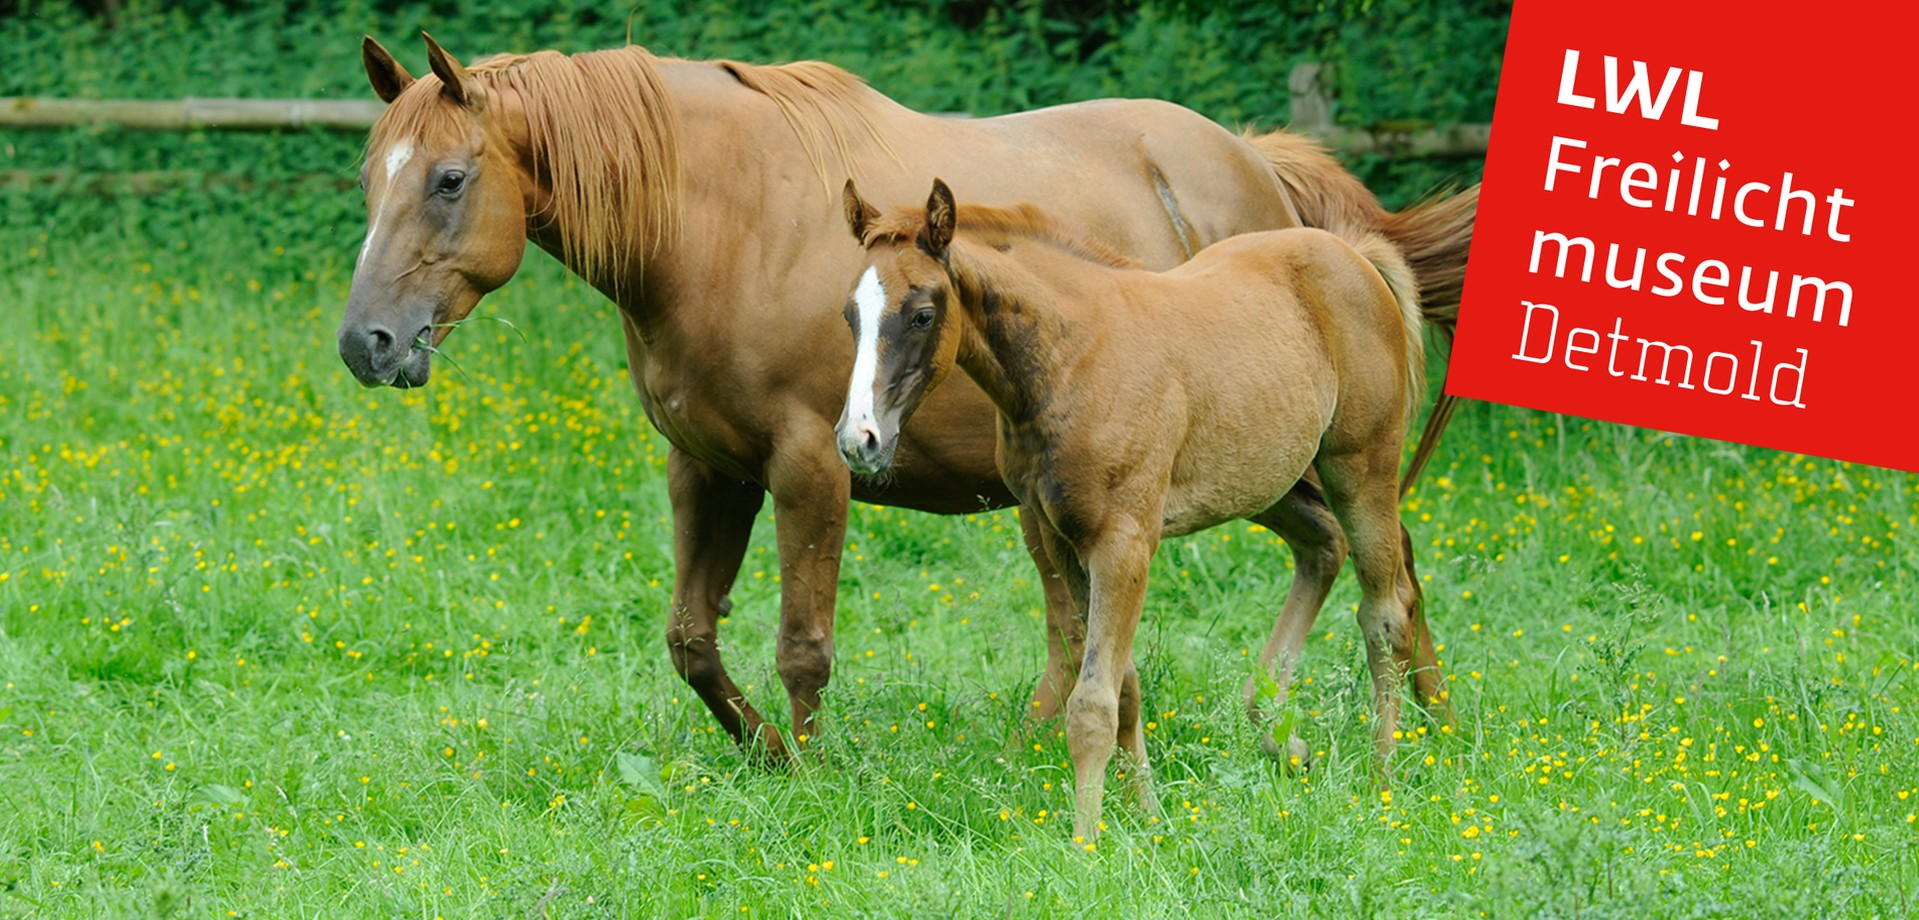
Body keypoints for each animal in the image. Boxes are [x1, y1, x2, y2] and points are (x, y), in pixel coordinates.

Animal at [832, 178, 1435, 841]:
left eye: (921, 313)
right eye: (850, 315)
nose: (859, 440)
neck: (1071, 357)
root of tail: (1353, 256)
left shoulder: (1122, 544)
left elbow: (1092, 702)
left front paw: (1085, 842)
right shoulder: (1064, 541)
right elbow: (1124, 687)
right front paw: (1147, 817)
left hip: (1360, 466)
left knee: (1385, 614)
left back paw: (1381, 778)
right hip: (1264, 482)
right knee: (1323, 547)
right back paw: (1283, 736)